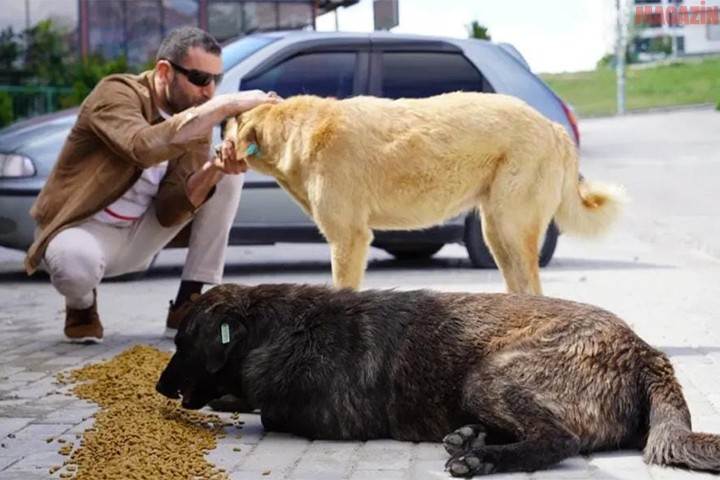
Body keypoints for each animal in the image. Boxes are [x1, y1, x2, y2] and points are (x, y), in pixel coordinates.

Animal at [156, 284, 720, 476]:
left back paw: (483, 458)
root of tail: (646, 352)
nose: (160, 389)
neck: (282, 325)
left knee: (559, 440)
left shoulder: (307, 416)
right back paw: (472, 438)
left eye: (182, 343)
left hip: (489, 375)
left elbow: (257, 407)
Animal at [225, 92, 624, 294]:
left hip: (511, 228)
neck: (297, 130)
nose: (218, 145)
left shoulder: (348, 238)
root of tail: (552, 126)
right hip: (495, 232)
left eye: (229, 124)